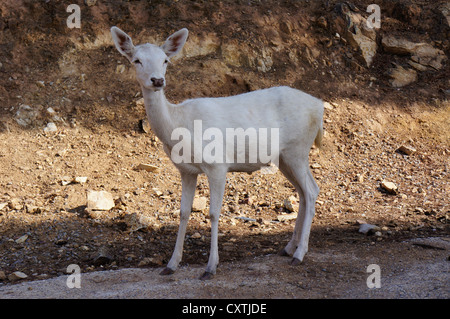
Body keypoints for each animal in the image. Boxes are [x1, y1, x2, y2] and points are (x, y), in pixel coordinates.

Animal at [111, 26, 324, 280]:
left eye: (165, 60)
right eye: (136, 60)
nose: (157, 80)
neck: (179, 126)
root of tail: (319, 106)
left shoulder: (217, 165)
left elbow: (213, 213)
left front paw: (210, 267)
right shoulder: (186, 170)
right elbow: (183, 212)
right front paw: (171, 264)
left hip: (297, 148)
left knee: (311, 190)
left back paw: (299, 254)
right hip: (285, 157)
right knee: (302, 192)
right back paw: (289, 247)